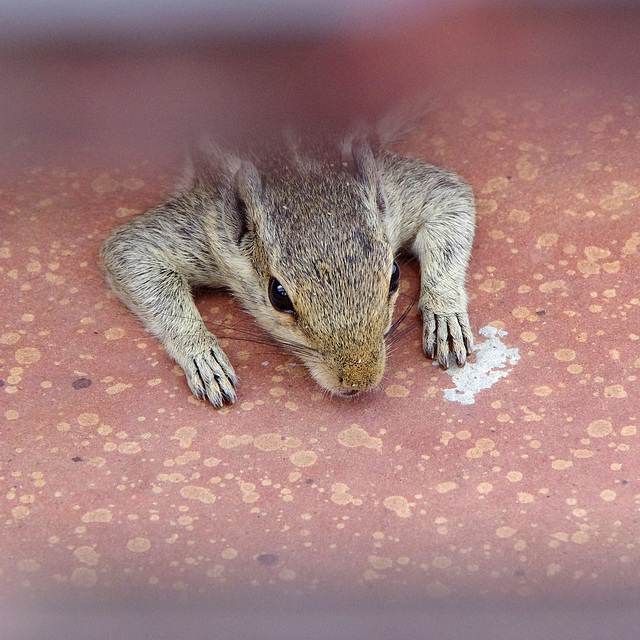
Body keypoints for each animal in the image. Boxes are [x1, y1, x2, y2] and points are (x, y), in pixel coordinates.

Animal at [101, 132, 476, 408]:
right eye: (278, 295)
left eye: (395, 275)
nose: (359, 380)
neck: (293, 166)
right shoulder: (205, 222)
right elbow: (130, 249)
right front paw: (203, 356)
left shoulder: (398, 195)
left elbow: (452, 195)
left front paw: (445, 315)